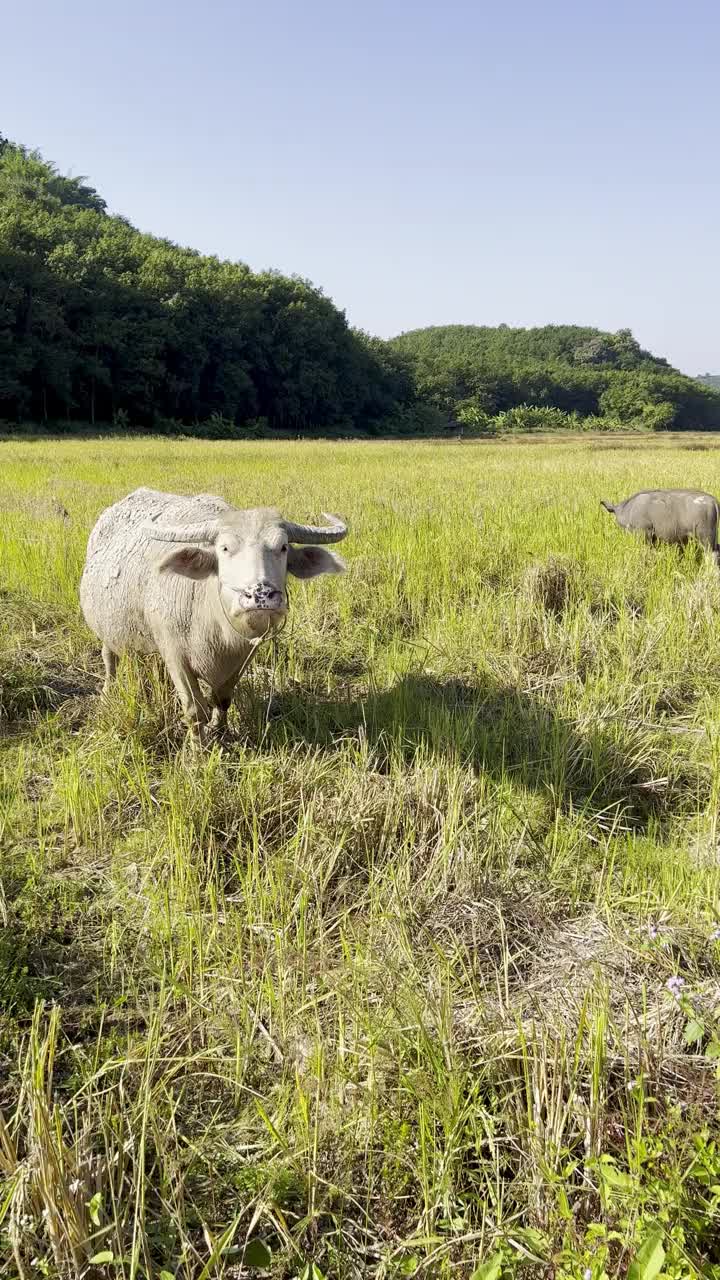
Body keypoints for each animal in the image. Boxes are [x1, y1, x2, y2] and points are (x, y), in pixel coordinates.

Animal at [79, 483, 345, 737]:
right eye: (225, 548)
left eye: (283, 547)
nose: (261, 595)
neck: (217, 627)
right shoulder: (176, 655)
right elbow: (195, 711)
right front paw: (199, 750)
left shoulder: (243, 657)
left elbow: (222, 698)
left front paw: (221, 729)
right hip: (106, 632)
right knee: (109, 658)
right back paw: (108, 691)